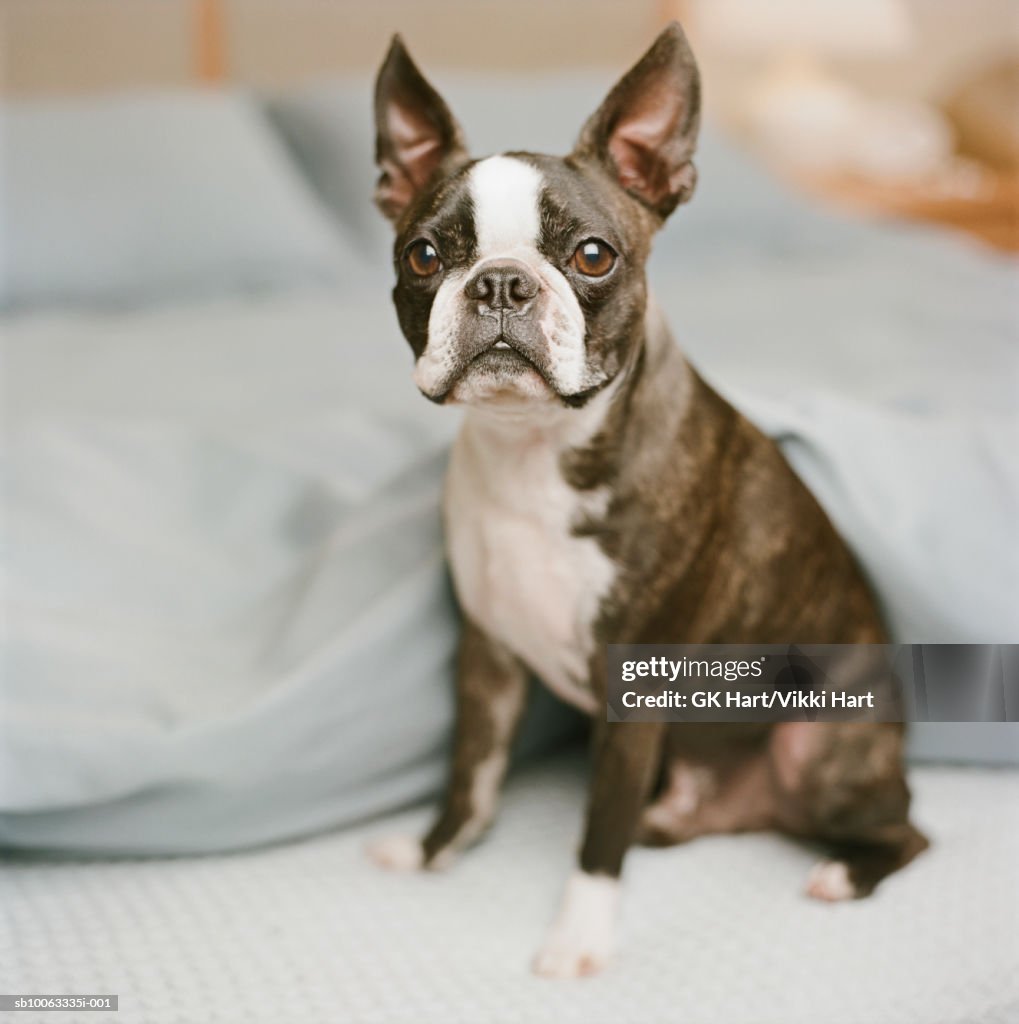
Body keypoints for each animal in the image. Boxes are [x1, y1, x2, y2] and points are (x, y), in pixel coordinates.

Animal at [368, 28, 933, 978]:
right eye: (424, 255)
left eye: (592, 255)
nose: (500, 283)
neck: (533, 450)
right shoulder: (487, 658)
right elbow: (471, 776)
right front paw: (435, 849)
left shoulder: (633, 685)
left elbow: (597, 831)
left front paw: (577, 937)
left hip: (818, 749)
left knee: (910, 832)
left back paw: (841, 872)